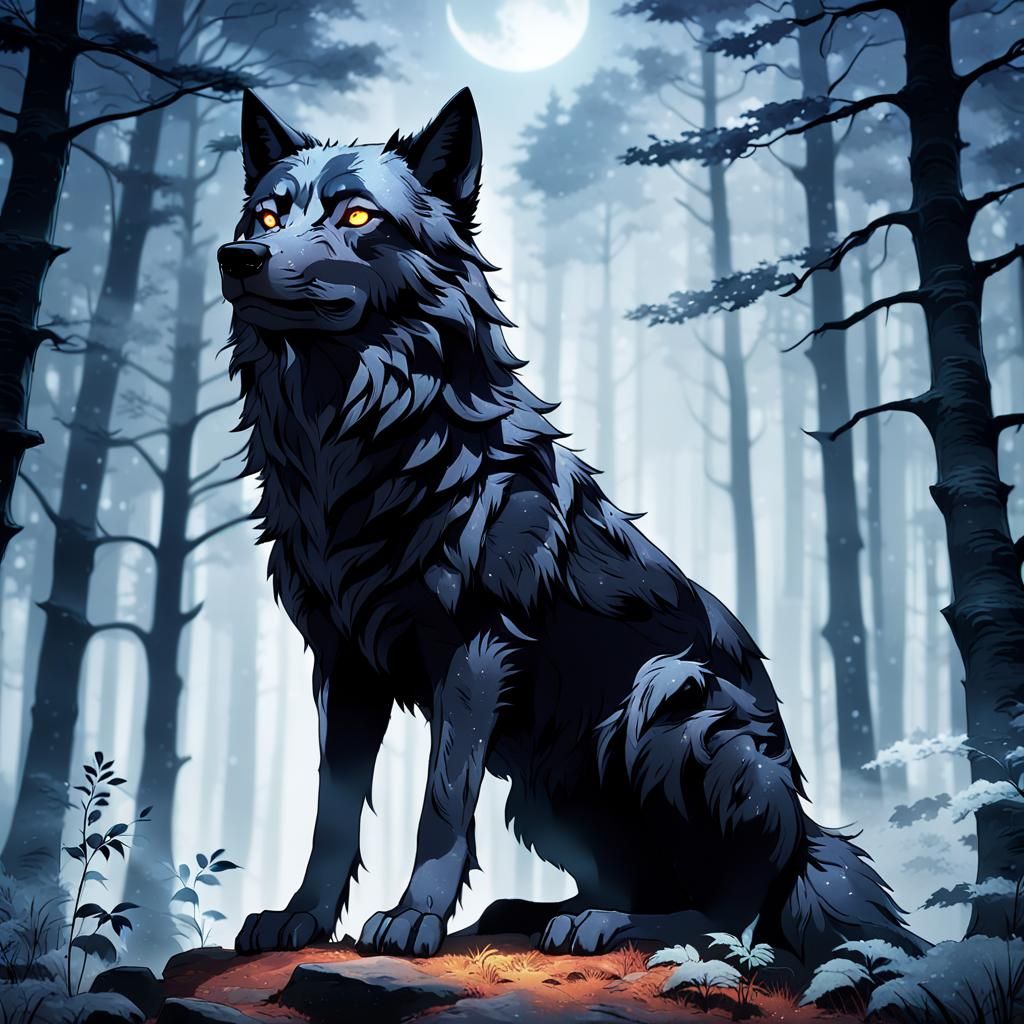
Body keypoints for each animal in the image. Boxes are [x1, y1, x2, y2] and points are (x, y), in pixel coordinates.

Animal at [218, 87, 921, 969]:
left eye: (355, 214)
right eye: (266, 216)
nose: (235, 257)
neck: (355, 441)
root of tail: (806, 837)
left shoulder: (477, 650)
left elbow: (440, 803)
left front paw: (413, 918)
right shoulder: (343, 662)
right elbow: (332, 812)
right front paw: (302, 917)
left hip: (671, 702)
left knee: (730, 919)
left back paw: (609, 927)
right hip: (546, 793)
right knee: (629, 884)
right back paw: (539, 912)